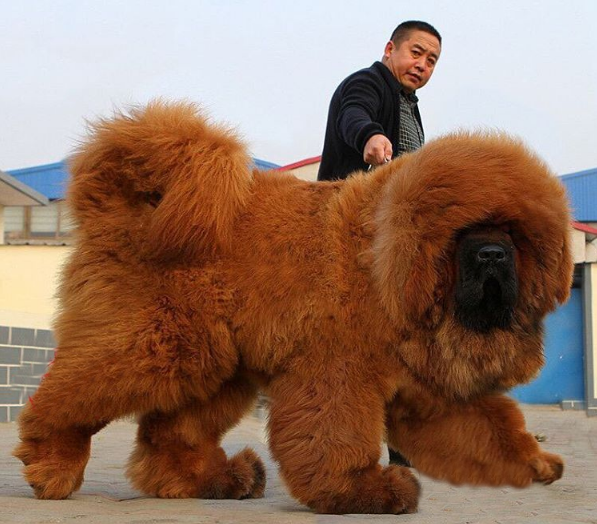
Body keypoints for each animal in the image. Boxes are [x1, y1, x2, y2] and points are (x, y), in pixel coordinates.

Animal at [14, 100, 572, 512]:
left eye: (515, 234)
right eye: (467, 232)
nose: (492, 254)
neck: (386, 265)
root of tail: (119, 209)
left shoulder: (430, 390)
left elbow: (493, 429)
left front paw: (537, 461)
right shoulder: (337, 371)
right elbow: (336, 436)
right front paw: (361, 490)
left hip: (217, 365)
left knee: (170, 433)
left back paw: (214, 479)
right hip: (157, 346)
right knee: (68, 396)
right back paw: (52, 460)